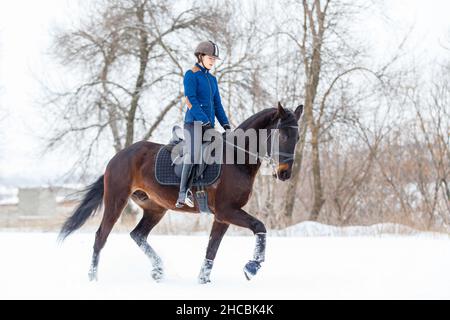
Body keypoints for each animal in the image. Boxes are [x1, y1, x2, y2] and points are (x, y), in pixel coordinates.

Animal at [59, 102, 302, 282]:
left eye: (297, 138)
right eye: (282, 136)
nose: (284, 173)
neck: (236, 159)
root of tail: (118, 156)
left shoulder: (222, 216)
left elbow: (212, 247)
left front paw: (204, 280)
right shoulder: (227, 211)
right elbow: (259, 226)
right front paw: (252, 266)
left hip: (155, 208)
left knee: (138, 234)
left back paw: (158, 270)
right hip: (116, 201)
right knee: (101, 236)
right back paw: (93, 277)